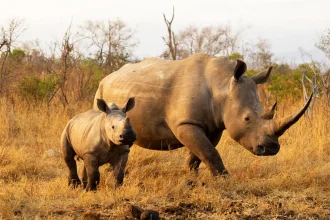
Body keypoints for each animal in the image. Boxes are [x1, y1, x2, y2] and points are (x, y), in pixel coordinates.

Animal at [93, 52, 312, 175]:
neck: (222, 84)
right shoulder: (185, 123)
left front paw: (190, 175)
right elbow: (208, 151)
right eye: (247, 119)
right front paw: (225, 179)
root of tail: (107, 77)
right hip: (100, 93)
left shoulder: (214, 125)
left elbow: (202, 151)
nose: (271, 148)